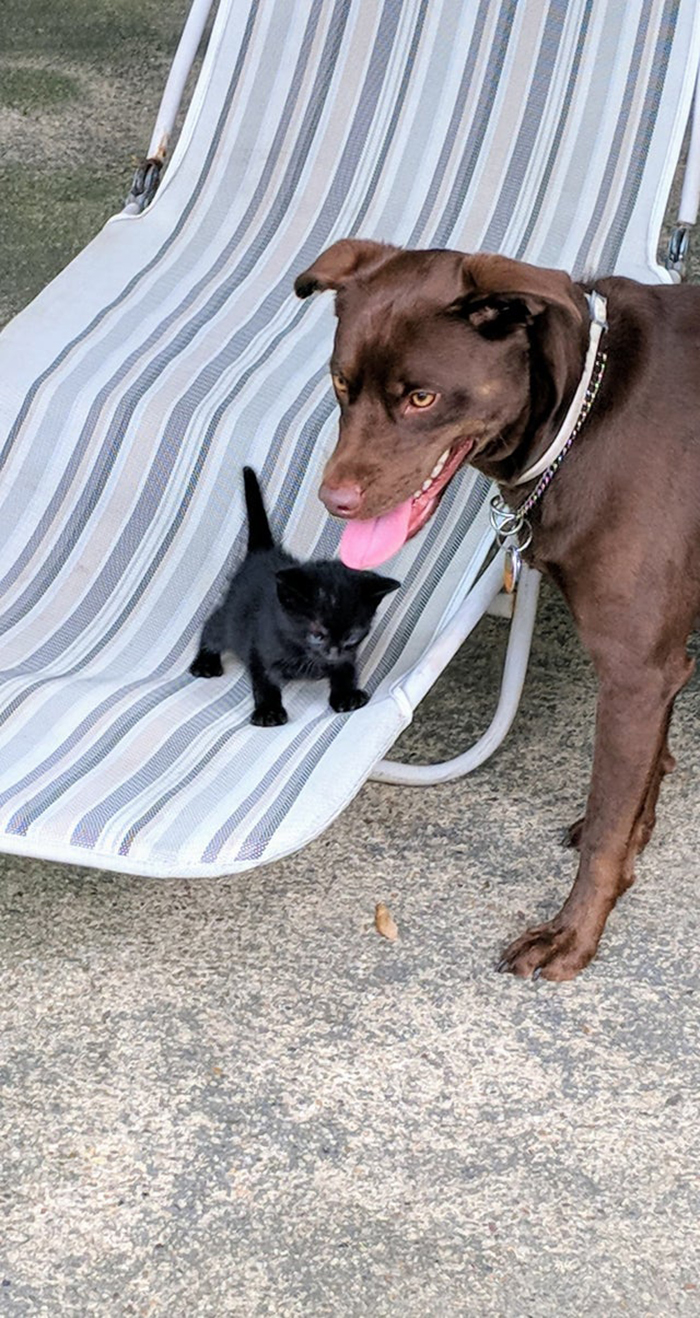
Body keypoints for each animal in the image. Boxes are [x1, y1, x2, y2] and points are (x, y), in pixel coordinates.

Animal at [188, 469, 403, 727]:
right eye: (317, 635)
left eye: (352, 636)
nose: (333, 651)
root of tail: (263, 552)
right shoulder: (259, 643)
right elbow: (264, 680)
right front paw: (269, 711)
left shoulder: (348, 654)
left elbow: (346, 668)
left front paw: (346, 695)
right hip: (233, 617)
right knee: (213, 626)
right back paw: (205, 662)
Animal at [292, 239, 696, 980]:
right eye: (340, 385)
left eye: (421, 397)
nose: (334, 502)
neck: (587, 410)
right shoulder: (658, 667)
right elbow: (641, 782)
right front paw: (638, 842)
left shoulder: (636, 672)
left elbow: (607, 825)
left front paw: (573, 935)